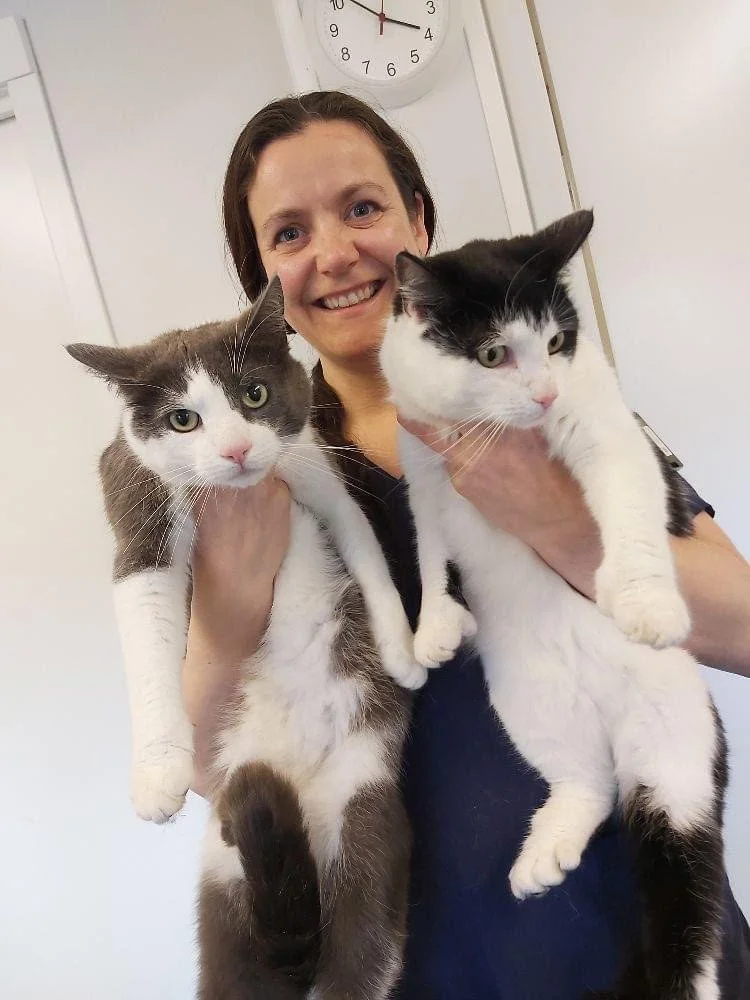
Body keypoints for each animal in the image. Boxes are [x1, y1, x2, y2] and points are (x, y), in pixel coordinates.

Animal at [67, 277, 422, 998]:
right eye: (183, 420)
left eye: (254, 395)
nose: (236, 451)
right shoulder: (137, 488)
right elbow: (146, 620)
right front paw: (158, 773)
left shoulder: (308, 459)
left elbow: (361, 543)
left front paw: (402, 651)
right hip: (225, 891)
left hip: (366, 817)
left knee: (362, 951)